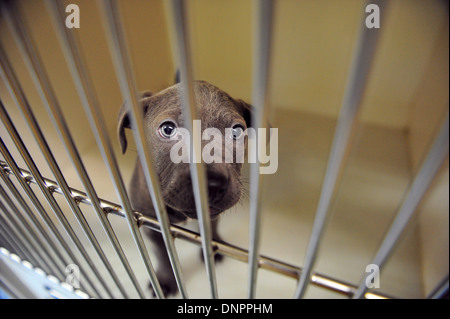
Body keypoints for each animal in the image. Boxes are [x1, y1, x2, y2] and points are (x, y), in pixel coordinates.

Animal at [117, 80, 253, 298]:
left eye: (237, 131)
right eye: (168, 129)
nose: (210, 183)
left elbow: (212, 228)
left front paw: (212, 247)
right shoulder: (151, 225)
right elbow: (163, 255)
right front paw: (165, 280)